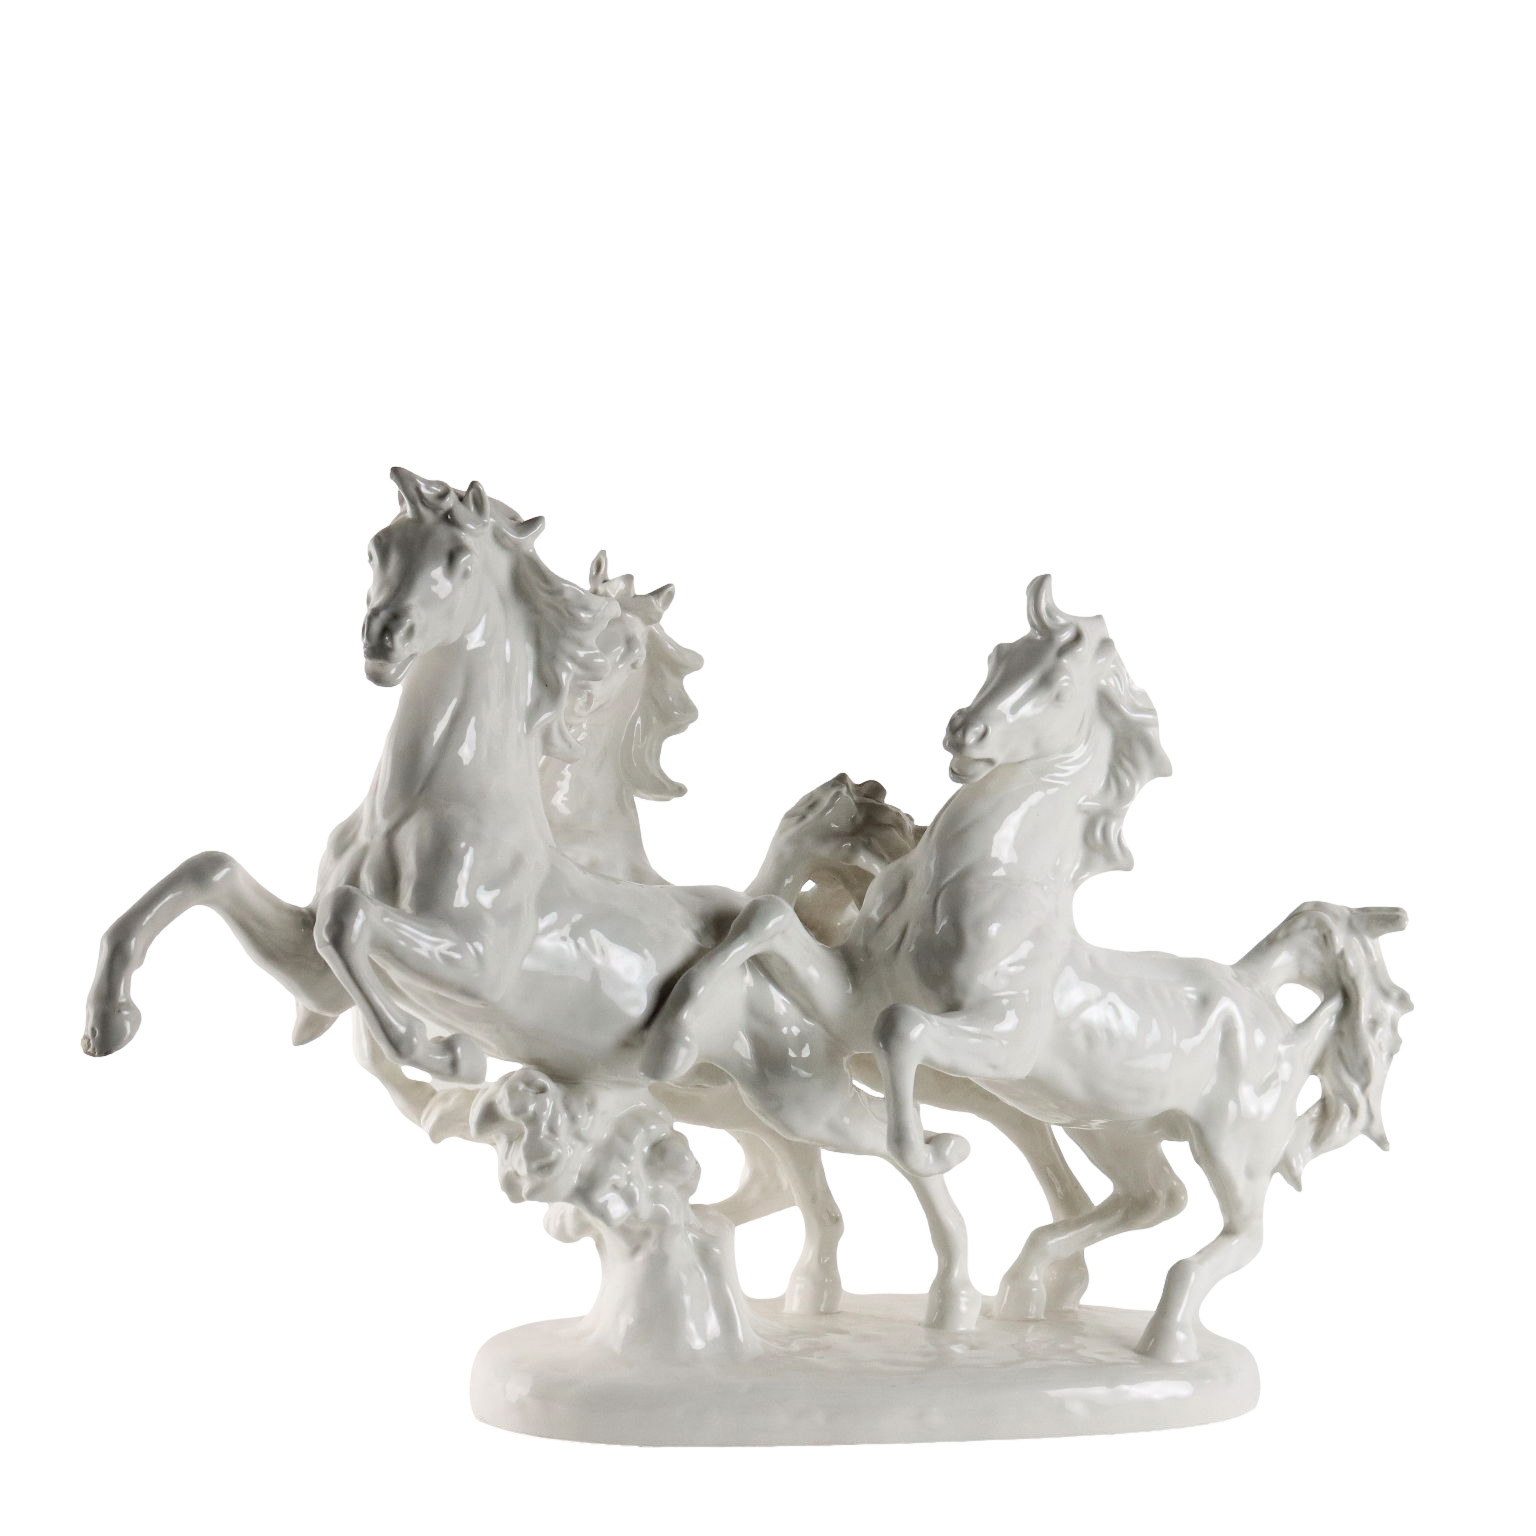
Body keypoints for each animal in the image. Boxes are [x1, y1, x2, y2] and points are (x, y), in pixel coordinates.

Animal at [640, 575, 1410, 1360]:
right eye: (1000, 655)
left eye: (1059, 684)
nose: (964, 733)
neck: (985, 883)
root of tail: (1255, 993)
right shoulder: (850, 1000)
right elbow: (767, 919)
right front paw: (668, 1038)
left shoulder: (1000, 1039)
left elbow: (902, 1029)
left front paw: (930, 1149)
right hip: (1114, 1128)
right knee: (1153, 1197)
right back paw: (1028, 1286)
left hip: (1232, 1145)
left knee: (1241, 1233)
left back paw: (1164, 1334)